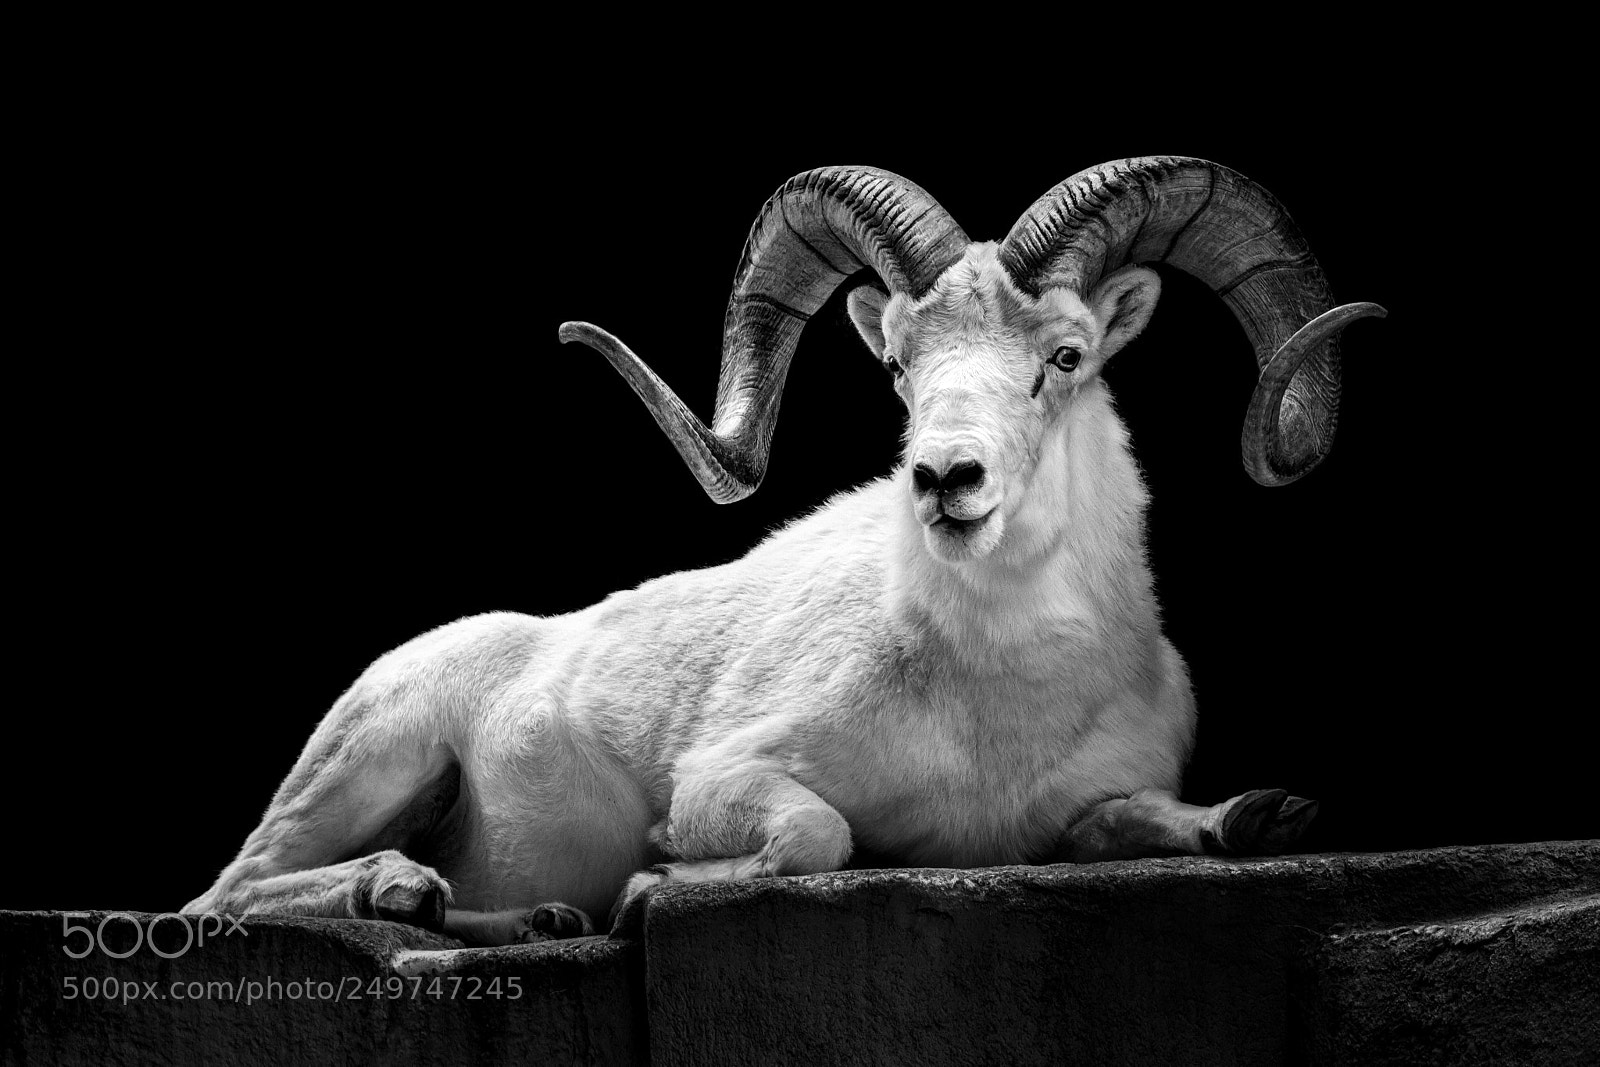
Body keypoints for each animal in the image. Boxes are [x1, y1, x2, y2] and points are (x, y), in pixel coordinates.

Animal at [185, 157, 1385, 945]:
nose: (946, 480)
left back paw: (535, 915)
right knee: (224, 894)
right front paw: (653, 881)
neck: (994, 700)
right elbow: (816, 836)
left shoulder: (1099, 796)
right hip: (371, 761)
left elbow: (1147, 818)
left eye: (1065, 354)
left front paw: (1253, 815)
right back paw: (403, 892)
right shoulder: (731, 778)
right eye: (897, 362)